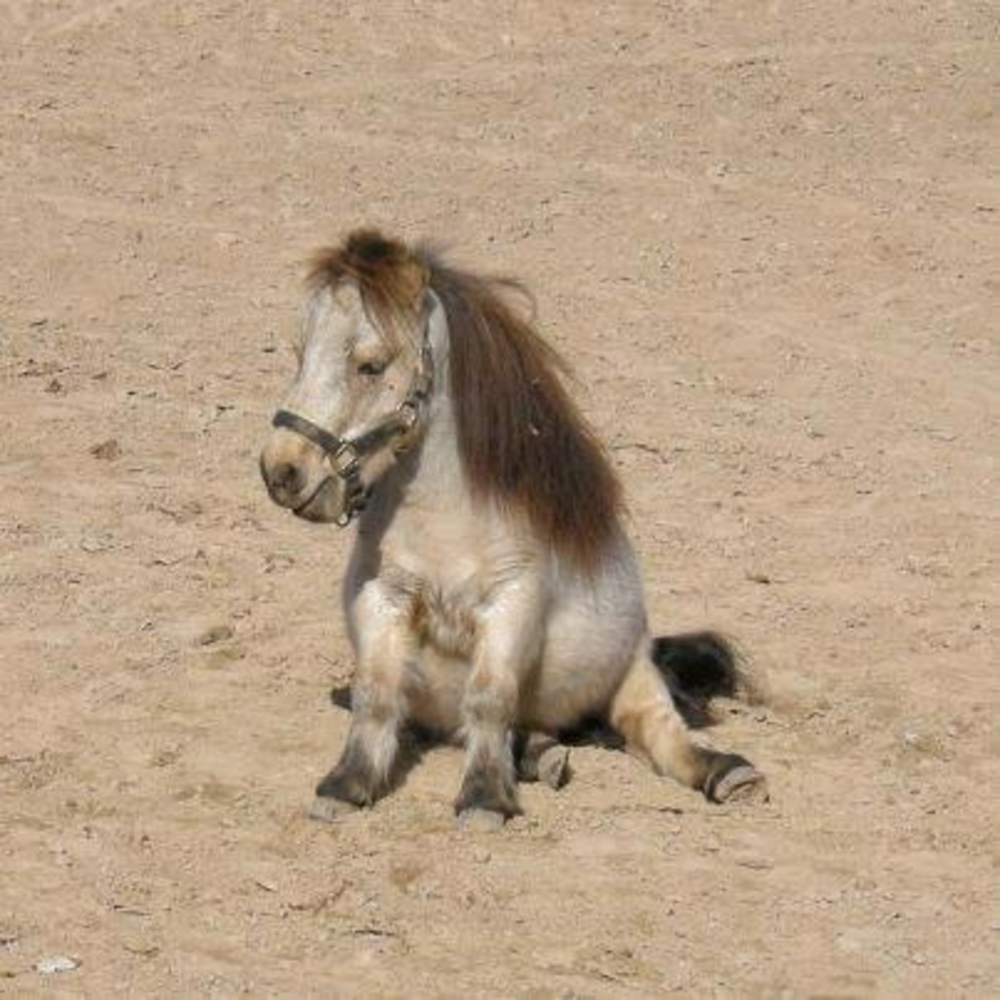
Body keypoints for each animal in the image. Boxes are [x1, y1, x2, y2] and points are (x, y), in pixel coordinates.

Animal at [259, 228, 766, 826]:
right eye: (301, 354)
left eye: (371, 365)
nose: (282, 471)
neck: (447, 524)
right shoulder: (383, 597)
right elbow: (377, 694)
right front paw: (347, 783)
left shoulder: (513, 600)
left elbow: (490, 696)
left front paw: (483, 798)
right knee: (519, 731)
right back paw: (542, 755)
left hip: (632, 674)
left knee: (656, 729)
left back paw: (726, 771)